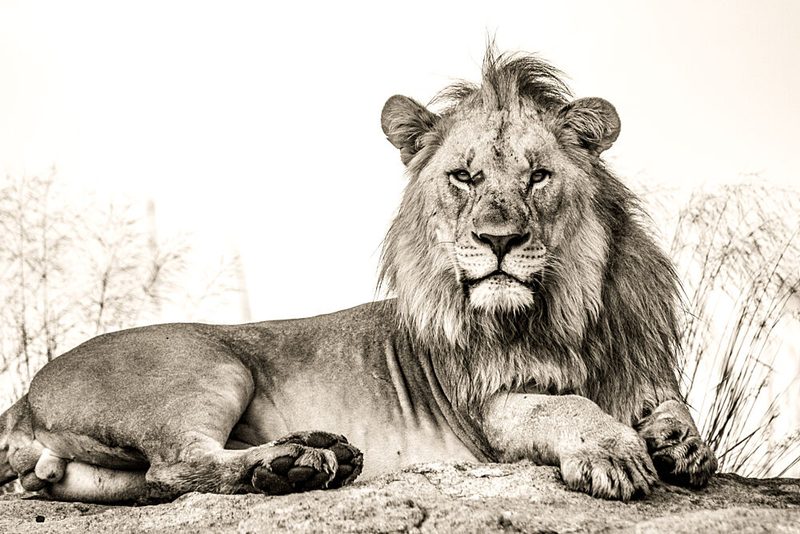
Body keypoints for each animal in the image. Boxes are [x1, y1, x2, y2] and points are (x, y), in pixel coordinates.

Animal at [0, 49, 717, 503]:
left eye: (538, 176)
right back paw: (299, 462)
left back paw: (315, 456)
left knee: (136, 480)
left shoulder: (638, 367)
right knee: (176, 468)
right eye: (465, 177)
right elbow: (562, 403)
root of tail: (28, 394)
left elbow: (673, 406)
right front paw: (613, 451)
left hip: (94, 474)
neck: (562, 310)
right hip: (211, 366)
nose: (499, 240)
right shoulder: (486, 409)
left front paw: (680, 446)